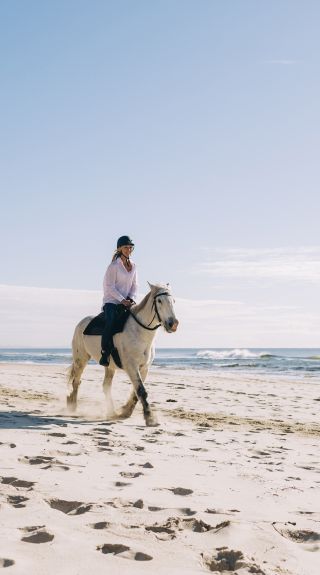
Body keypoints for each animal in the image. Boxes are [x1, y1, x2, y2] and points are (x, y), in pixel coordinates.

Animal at [66, 284, 179, 428]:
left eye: (173, 301)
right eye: (159, 301)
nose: (173, 324)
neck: (140, 332)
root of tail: (81, 323)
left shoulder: (144, 368)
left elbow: (136, 392)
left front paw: (125, 412)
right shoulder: (131, 366)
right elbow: (141, 391)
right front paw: (150, 418)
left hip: (109, 366)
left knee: (106, 386)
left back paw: (111, 412)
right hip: (81, 359)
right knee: (76, 381)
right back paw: (72, 406)